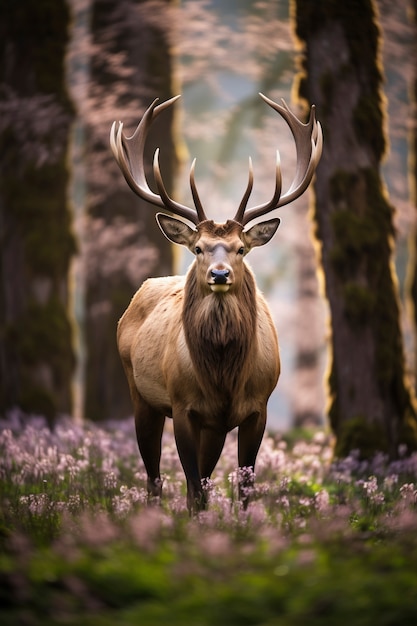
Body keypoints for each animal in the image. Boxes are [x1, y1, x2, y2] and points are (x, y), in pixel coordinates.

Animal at [109, 94, 320, 512]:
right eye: (198, 248)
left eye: (241, 248)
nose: (219, 275)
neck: (223, 376)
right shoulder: (183, 405)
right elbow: (193, 488)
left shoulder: (258, 407)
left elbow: (243, 487)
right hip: (140, 394)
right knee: (154, 478)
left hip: (213, 426)